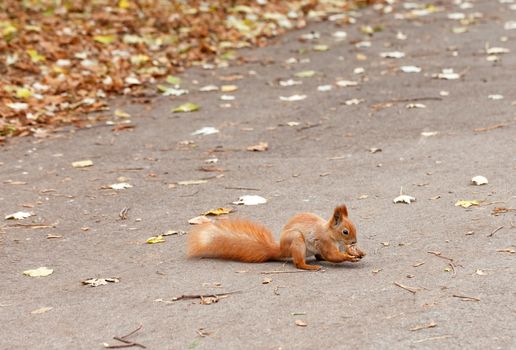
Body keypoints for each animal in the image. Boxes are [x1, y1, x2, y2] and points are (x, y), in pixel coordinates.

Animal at [187, 205, 364, 270]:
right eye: (345, 231)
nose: (354, 242)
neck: (331, 234)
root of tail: (280, 249)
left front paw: (358, 252)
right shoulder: (325, 242)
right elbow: (332, 256)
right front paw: (350, 257)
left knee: (318, 257)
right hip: (297, 240)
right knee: (299, 263)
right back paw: (310, 267)